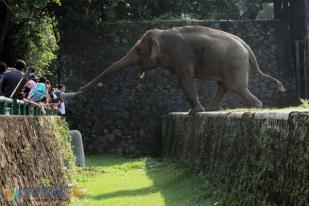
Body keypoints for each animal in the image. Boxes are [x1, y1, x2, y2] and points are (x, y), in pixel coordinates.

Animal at [77, 25, 284, 114]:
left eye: (138, 50)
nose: (78, 91)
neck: (162, 34)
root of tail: (247, 46)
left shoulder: (180, 55)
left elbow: (185, 79)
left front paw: (194, 113)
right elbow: (183, 80)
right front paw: (194, 112)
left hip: (234, 62)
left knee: (235, 87)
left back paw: (256, 107)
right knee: (223, 86)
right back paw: (211, 110)